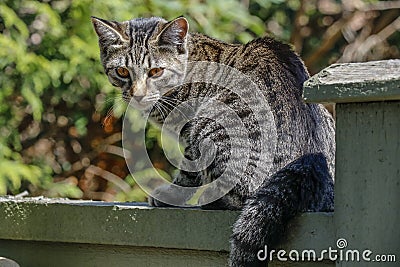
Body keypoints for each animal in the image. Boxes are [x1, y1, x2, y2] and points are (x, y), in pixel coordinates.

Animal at [92, 15, 336, 266]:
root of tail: (309, 168)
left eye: (156, 71)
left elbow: (187, 174)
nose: (137, 95)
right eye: (122, 71)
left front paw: (170, 195)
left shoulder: (190, 134)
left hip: (212, 125)